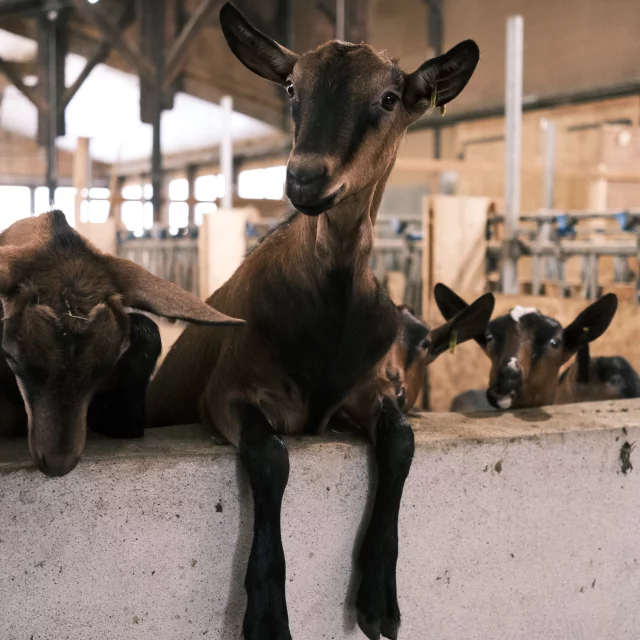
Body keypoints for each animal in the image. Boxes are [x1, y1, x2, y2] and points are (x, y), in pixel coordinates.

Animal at [149, 6, 480, 640]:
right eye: (292, 89)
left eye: (389, 97)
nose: (304, 179)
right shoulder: (229, 393)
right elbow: (273, 458)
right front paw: (266, 616)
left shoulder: (369, 388)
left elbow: (401, 443)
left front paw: (379, 601)